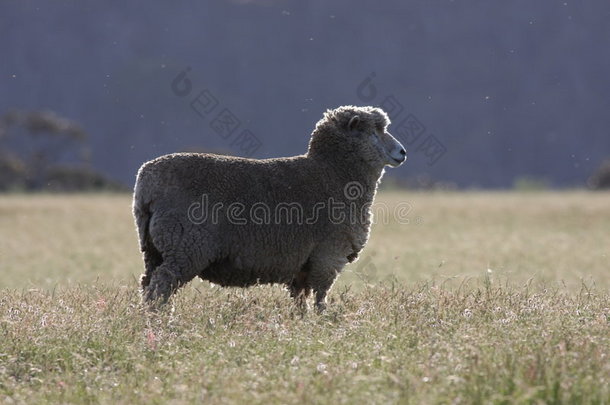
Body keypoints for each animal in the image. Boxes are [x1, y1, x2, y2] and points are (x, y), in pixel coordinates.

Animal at [135, 104, 406, 310]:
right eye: (377, 130)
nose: (402, 152)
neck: (332, 173)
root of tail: (146, 181)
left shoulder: (303, 264)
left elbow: (300, 299)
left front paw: (301, 321)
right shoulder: (328, 254)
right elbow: (320, 296)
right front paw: (323, 321)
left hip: (154, 248)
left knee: (147, 282)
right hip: (186, 245)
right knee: (161, 285)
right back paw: (161, 319)